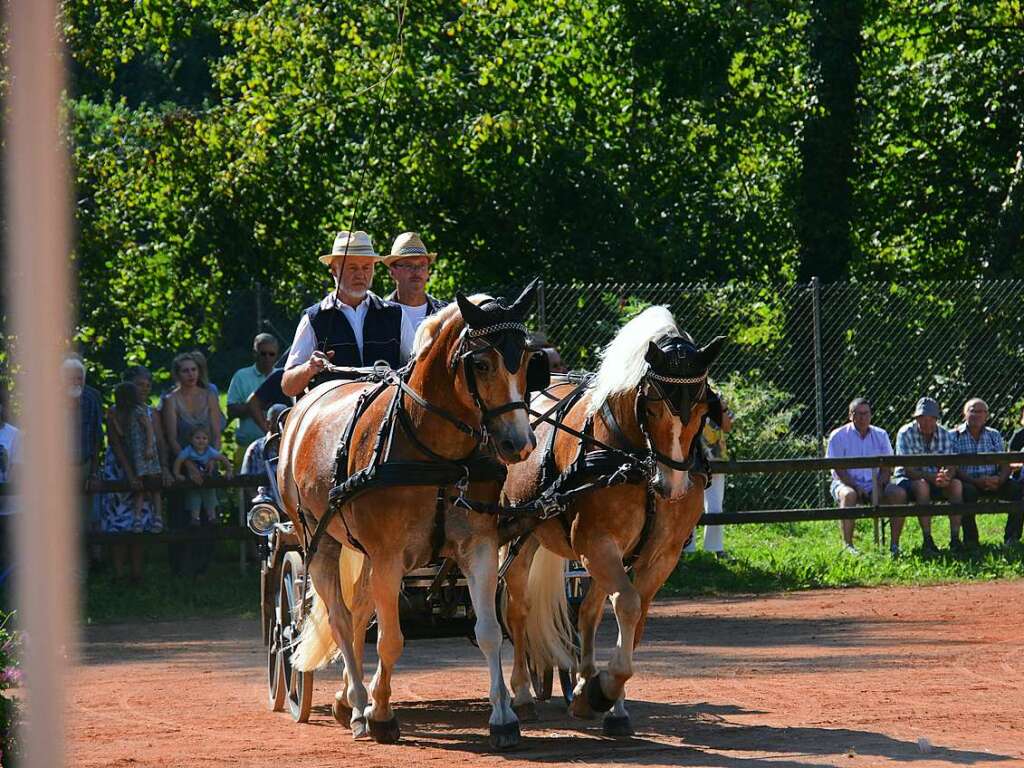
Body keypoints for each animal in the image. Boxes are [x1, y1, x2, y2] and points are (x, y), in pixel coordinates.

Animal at [276, 286, 540, 749]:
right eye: (481, 363)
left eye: (526, 360)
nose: (519, 443)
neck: (437, 455)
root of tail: (304, 407)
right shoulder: (389, 556)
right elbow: (390, 640)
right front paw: (381, 715)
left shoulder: (479, 547)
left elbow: (489, 631)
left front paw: (504, 717)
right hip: (319, 541)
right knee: (342, 619)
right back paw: (358, 705)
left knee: (359, 611)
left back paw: (346, 701)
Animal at [499, 307, 724, 741]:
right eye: (651, 406)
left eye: (703, 409)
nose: (671, 486)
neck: (633, 460)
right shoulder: (596, 543)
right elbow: (628, 604)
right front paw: (602, 691)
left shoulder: (659, 555)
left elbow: (634, 616)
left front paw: (603, 696)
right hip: (519, 535)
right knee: (518, 607)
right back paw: (520, 694)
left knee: (587, 610)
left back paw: (585, 680)